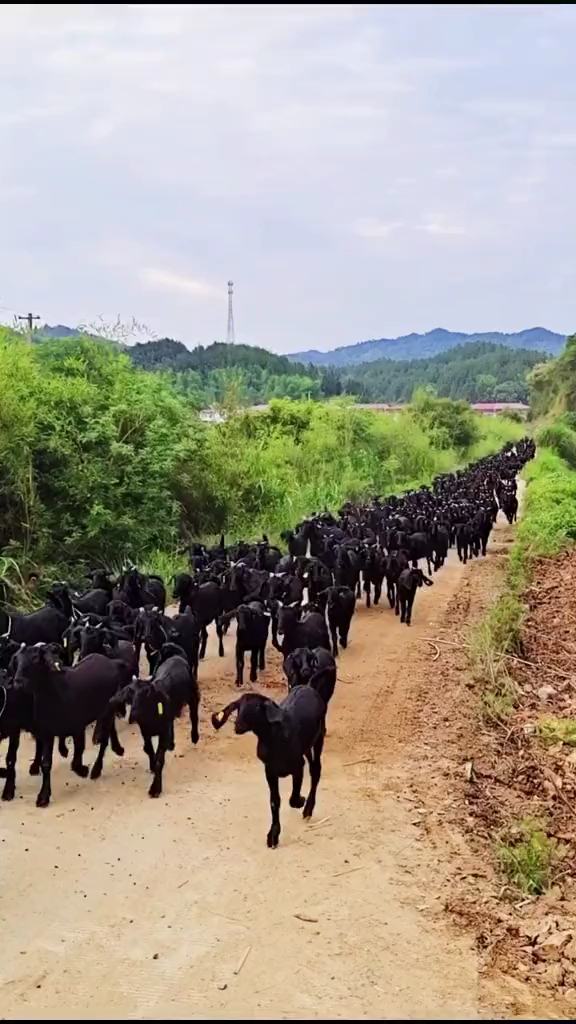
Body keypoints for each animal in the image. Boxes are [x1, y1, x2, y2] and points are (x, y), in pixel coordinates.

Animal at [213, 688, 325, 847]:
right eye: (238, 707)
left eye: (257, 707)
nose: (238, 726)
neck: (274, 737)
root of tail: (307, 687)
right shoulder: (270, 771)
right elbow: (274, 801)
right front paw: (273, 835)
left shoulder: (298, 766)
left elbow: (293, 798)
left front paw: (301, 801)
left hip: (319, 737)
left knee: (315, 770)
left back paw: (308, 809)